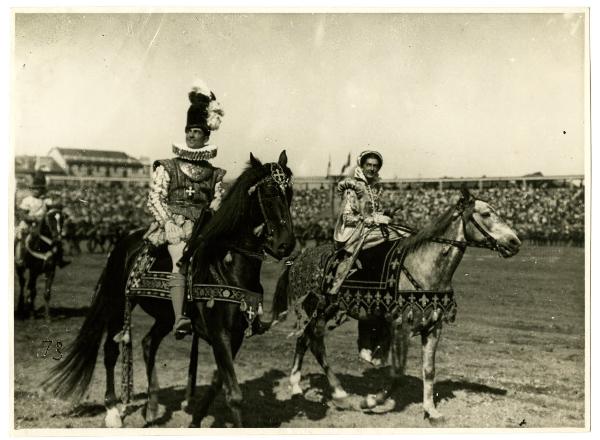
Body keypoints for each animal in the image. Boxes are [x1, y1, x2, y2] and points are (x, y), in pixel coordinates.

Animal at [42, 151, 296, 426]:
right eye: (269, 191)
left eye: (290, 191)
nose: (286, 244)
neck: (229, 268)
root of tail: (126, 241)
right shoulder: (220, 333)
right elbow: (234, 394)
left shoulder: (236, 335)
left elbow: (217, 383)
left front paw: (195, 419)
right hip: (118, 305)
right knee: (111, 351)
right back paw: (113, 410)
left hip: (164, 317)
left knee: (147, 343)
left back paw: (151, 407)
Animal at [272, 190, 520, 422]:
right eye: (486, 214)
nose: (515, 241)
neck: (423, 268)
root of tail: (298, 259)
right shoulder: (400, 327)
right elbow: (398, 373)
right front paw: (370, 401)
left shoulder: (433, 328)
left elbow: (429, 370)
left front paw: (432, 411)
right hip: (318, 310)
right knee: (315, 343)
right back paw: (339, 392)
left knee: (304, 340)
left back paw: (297, 386)